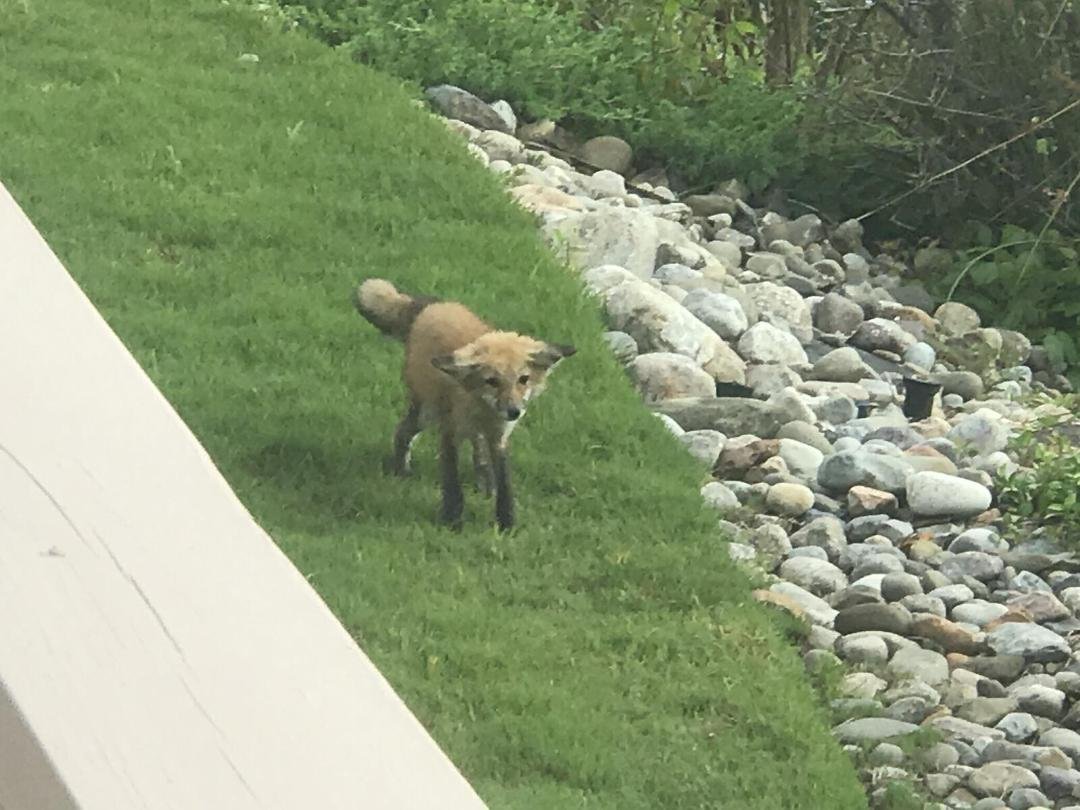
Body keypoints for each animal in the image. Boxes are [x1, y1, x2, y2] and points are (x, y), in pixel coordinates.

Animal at [354, 278, 576, 532]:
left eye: (523, 379)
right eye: (492, 381)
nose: (514, 412)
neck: (482, 409)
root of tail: (436, 305)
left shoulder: (499, 437)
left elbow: (505, 483)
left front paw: (506, 522)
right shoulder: (449, 431)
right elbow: (452, 482)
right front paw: (452, 520)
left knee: (478, 453)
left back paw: (485, 485)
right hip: (426, 413)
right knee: (402, 433)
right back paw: (402, 471)